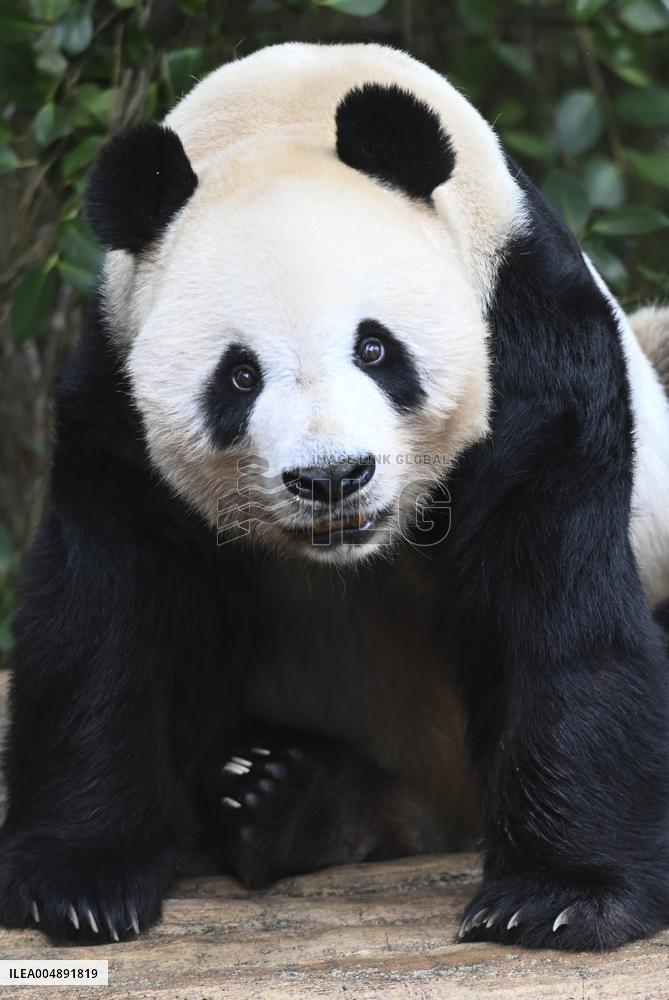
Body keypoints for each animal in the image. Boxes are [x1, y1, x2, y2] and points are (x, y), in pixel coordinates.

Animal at [1, 42, 669, 952]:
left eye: (375, 348)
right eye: (239, 375)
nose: (331, 478)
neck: (289, 106)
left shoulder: (530, 340)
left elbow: (555, 599)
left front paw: (558, 897)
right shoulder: (116, 395)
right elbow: (106, 616)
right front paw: (78, 885)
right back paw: (283, 800)